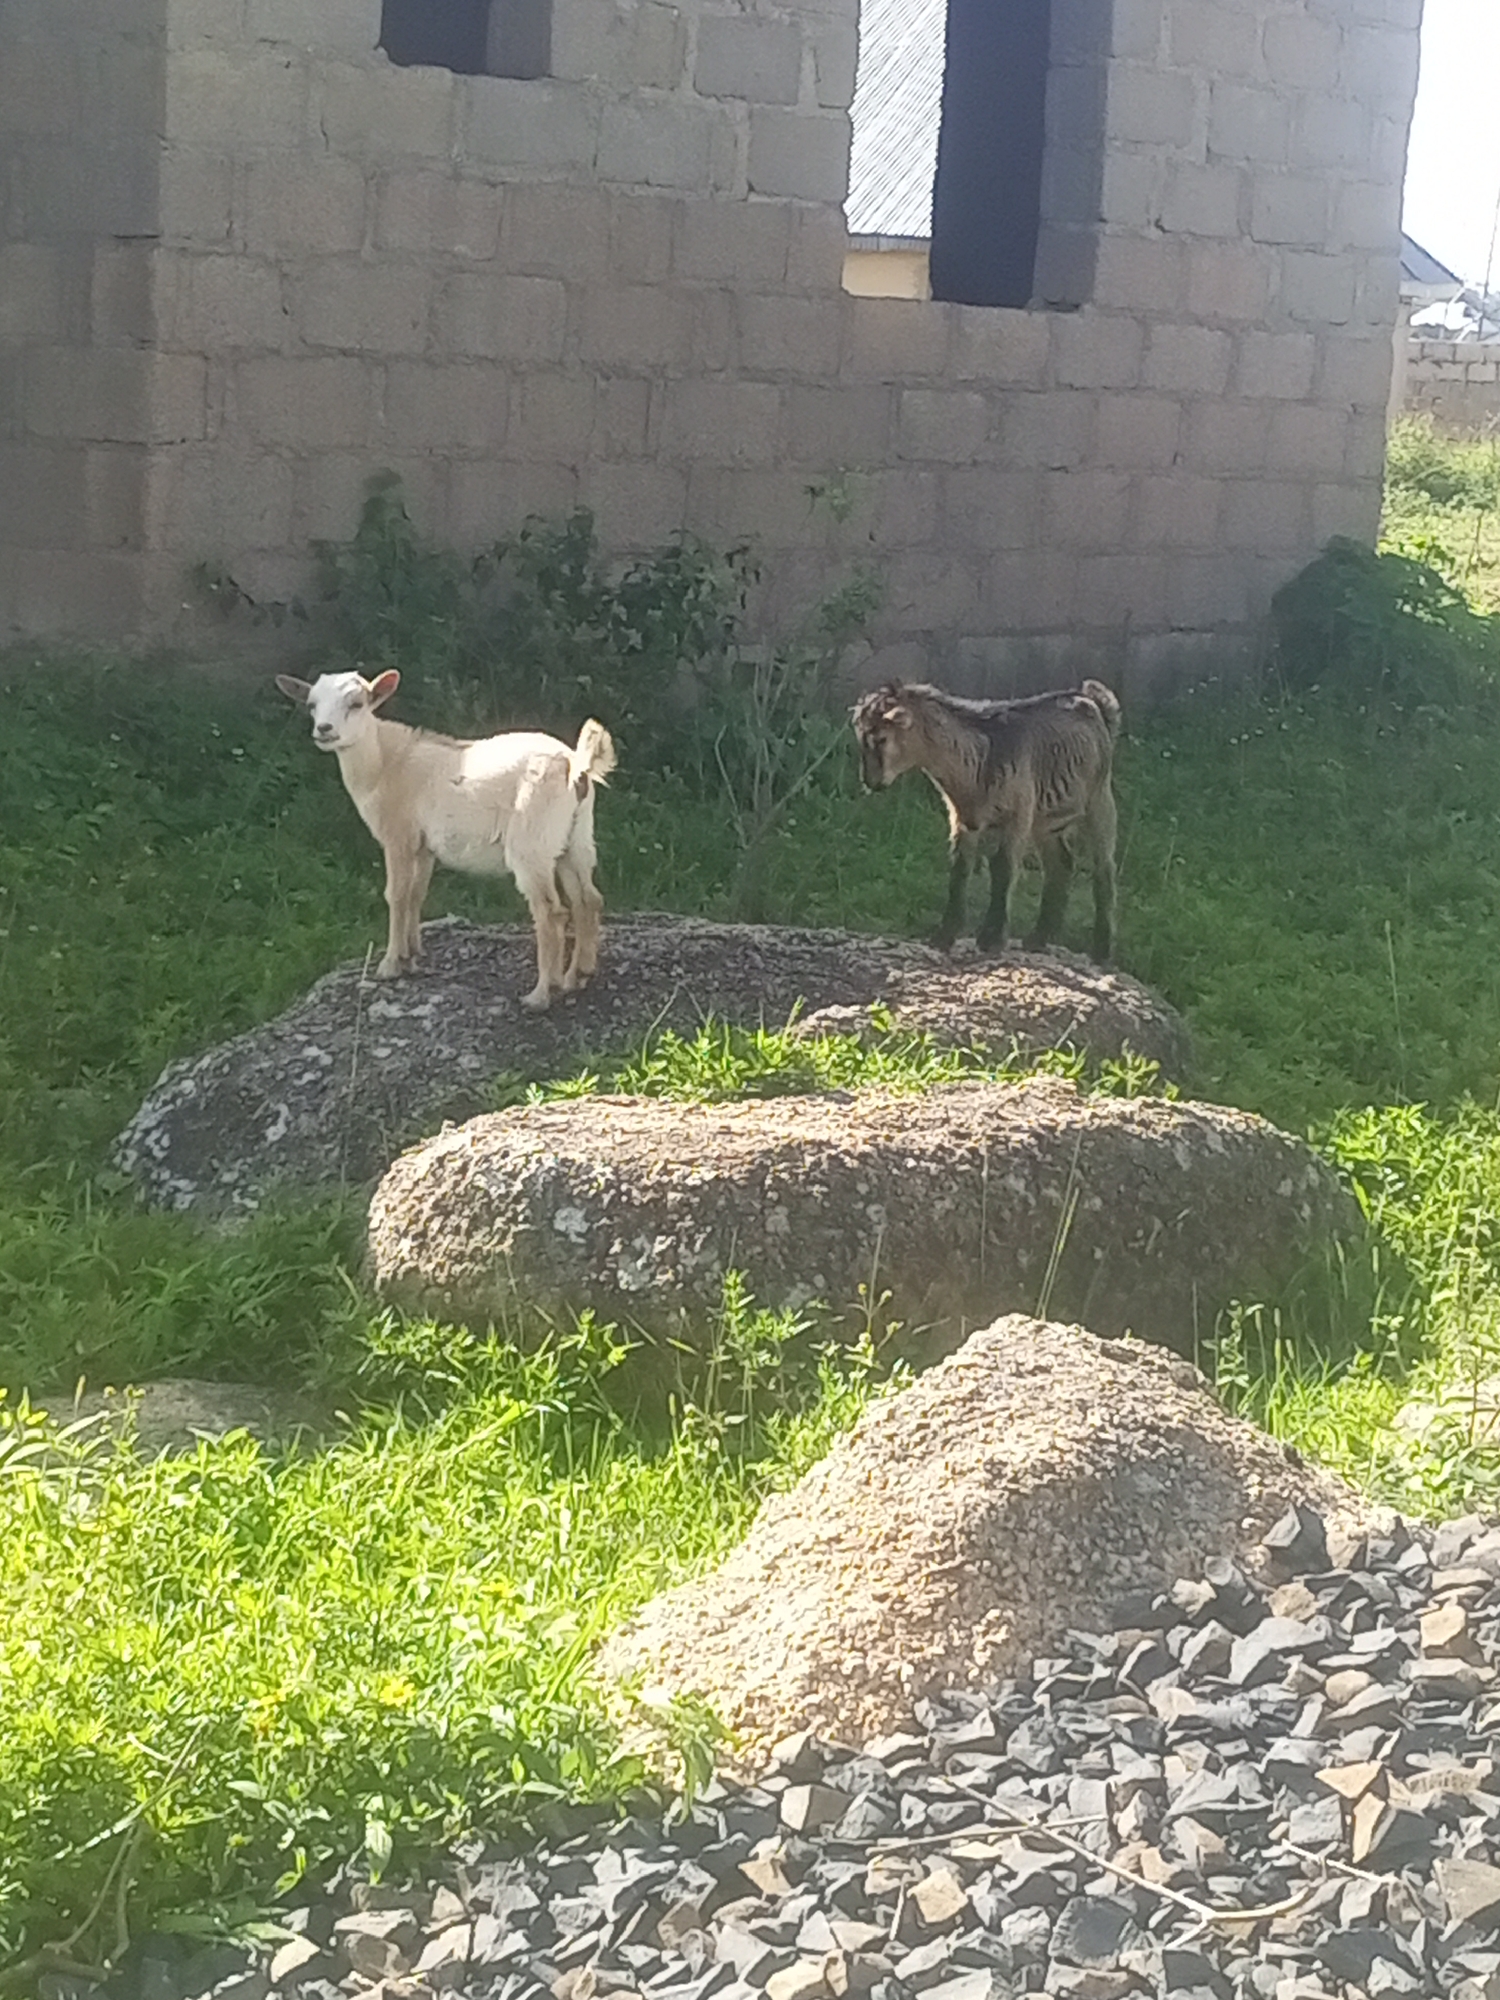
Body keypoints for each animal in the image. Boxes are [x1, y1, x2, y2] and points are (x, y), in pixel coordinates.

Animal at [275, 668, 617, 1011]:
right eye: (311, 705)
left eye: (357, 703)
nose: (324, 729)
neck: (383, 763)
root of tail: (575, 766)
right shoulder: (424, 846)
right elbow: (416, 894)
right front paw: (411, 955)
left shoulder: (398, 834)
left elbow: (395, 895)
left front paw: (390, 964)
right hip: (573, 838)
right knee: (588, 899)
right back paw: (578, 976)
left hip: (531, 839)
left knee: (551, 911)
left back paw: (542, 993)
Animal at [851, 677, 1121, 962]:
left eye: (881, 739)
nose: (870, 781)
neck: (976, 760)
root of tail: (1091, 699)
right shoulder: (963, 820)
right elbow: (959, 871)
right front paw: (944, 937)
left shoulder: (1017, 815)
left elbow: (1003, 869)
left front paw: (991, 939)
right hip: (1047, 818)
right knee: (1061, 863)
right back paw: (1038, 939)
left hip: (1099, 799)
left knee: (1103, 868)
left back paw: (1102, 951)